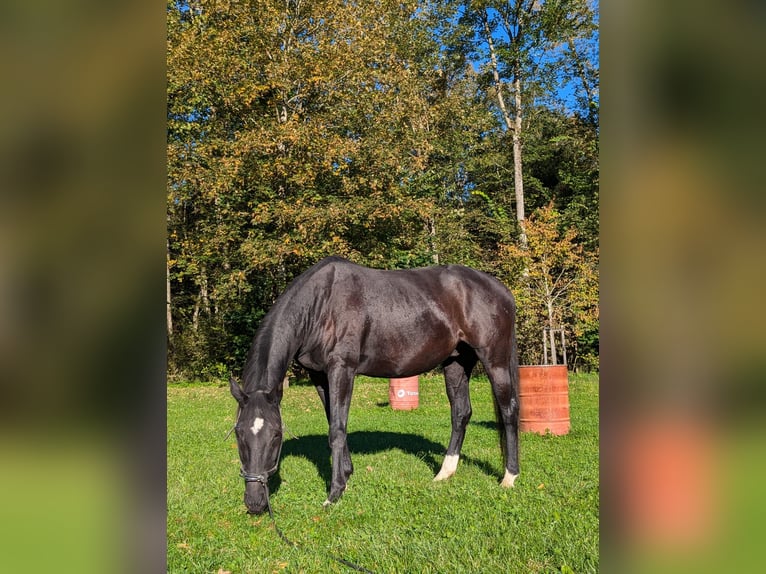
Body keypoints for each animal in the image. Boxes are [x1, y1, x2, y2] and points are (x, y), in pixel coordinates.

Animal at [230, 258, 520, 516]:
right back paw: (444, 473)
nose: (255, 503)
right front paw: (347, 476)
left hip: (495, 361)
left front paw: (334, 493)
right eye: (238, 433)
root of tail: (502, 291)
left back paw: (509, 477)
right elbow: (334, 422)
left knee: (509, 411)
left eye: (276, 435)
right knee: (460, 413)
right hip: (457, 362)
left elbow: (337, 429)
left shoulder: (342, 369)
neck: (321, 303)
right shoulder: (318, 375)